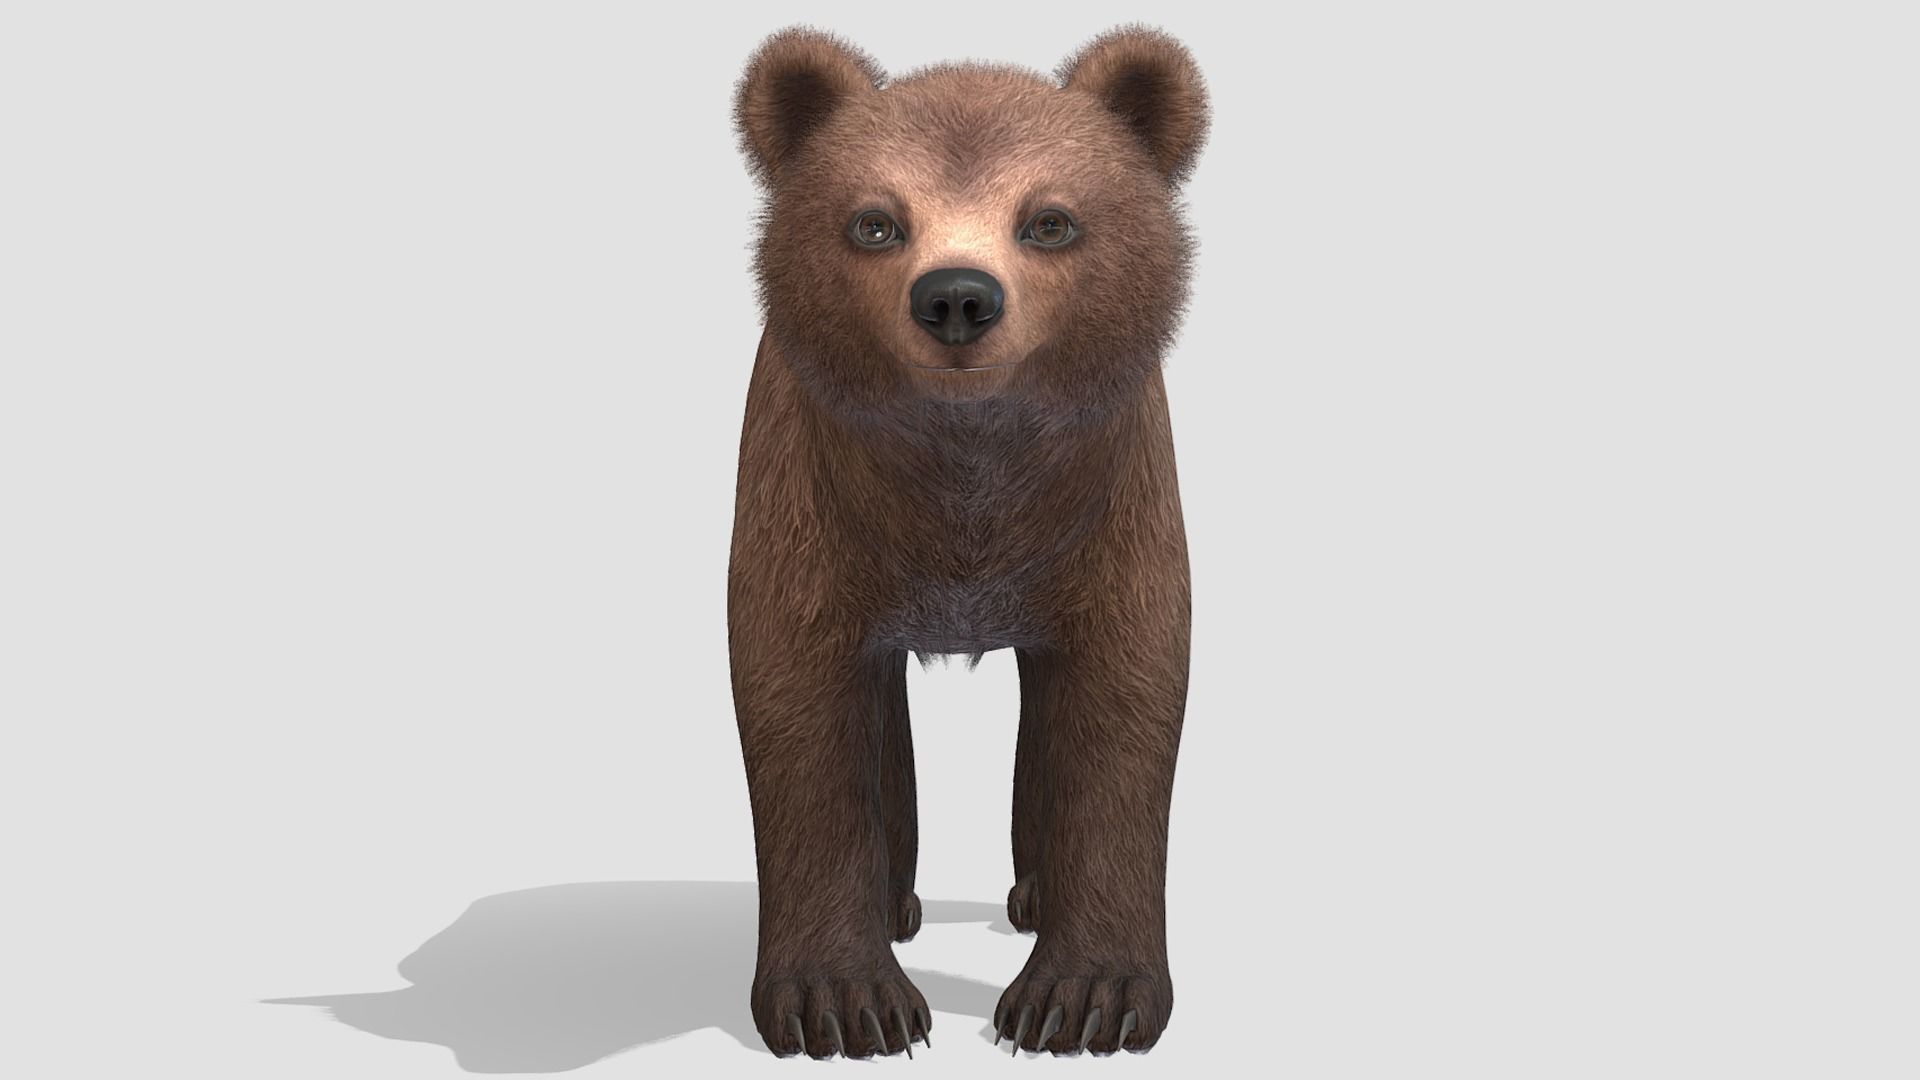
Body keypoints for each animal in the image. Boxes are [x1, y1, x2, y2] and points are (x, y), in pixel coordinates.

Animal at [726, 22, 1208, 1058]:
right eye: (875, 221)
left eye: (1051, 220)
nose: (956, 298)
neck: (968, 478)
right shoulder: (808, 510)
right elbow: (801, 716)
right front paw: (844, 1001)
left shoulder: (1112, 512)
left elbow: (1121, 709)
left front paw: (1083, 998)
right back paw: (896, 906)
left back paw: (1031, 898)